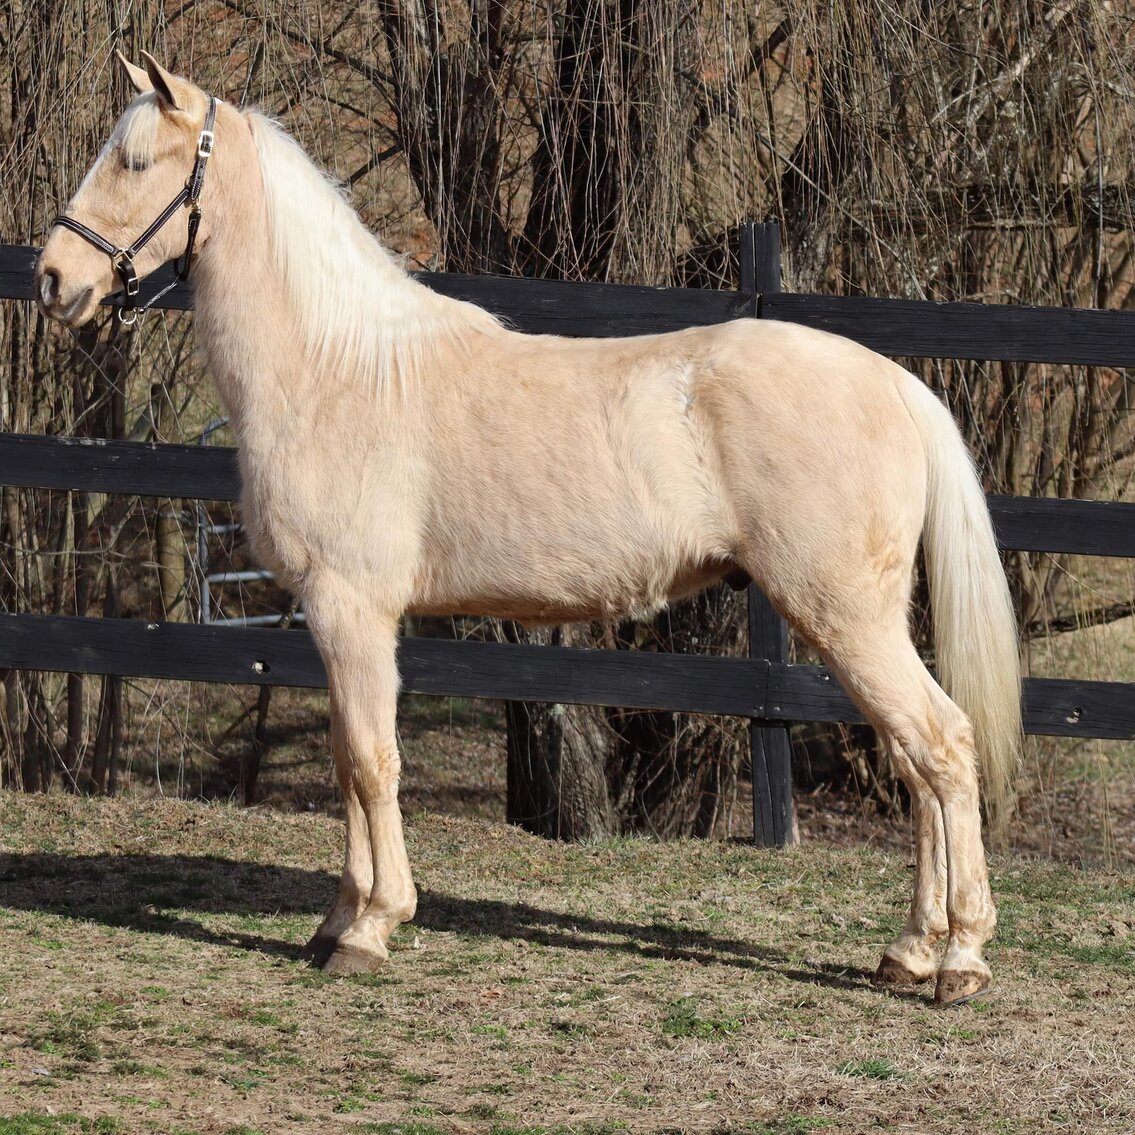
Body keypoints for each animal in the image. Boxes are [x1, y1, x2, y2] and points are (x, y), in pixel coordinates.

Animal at [35, 53, 1021, 1006]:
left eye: (134, 161)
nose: (52, 279)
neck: (335, 367)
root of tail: (893, 379)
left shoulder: (353, 610)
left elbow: (371, 761)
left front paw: (370, 928)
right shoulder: (332, 618)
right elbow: (348, 762)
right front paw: (336, 919)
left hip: (844, 615)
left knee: (940, 745)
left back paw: (960, 957)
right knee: (914, 760)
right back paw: (910, 950)